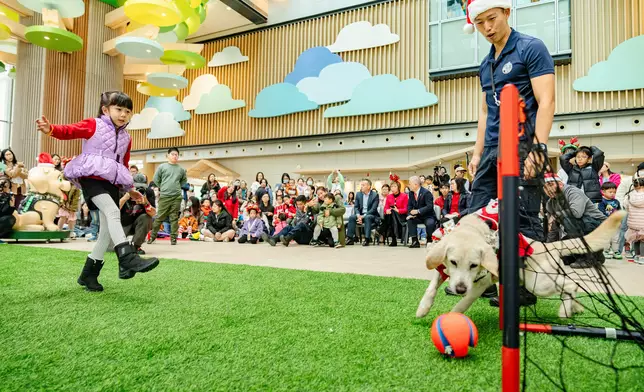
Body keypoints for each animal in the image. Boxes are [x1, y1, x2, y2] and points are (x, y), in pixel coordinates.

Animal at [416, 211, 628, 318]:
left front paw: (453, 315)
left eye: (474, 265)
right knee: (571, 287)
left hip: (538, 283)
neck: (474, 229)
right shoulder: (442, 269)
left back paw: (565, 311)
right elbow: (431, 288)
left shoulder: (481, 282)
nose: (459, 289)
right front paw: (423, 308)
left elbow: (464, 302)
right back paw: (575, 308)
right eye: (453, 262)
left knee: (571, 285)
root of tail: (547, 245)